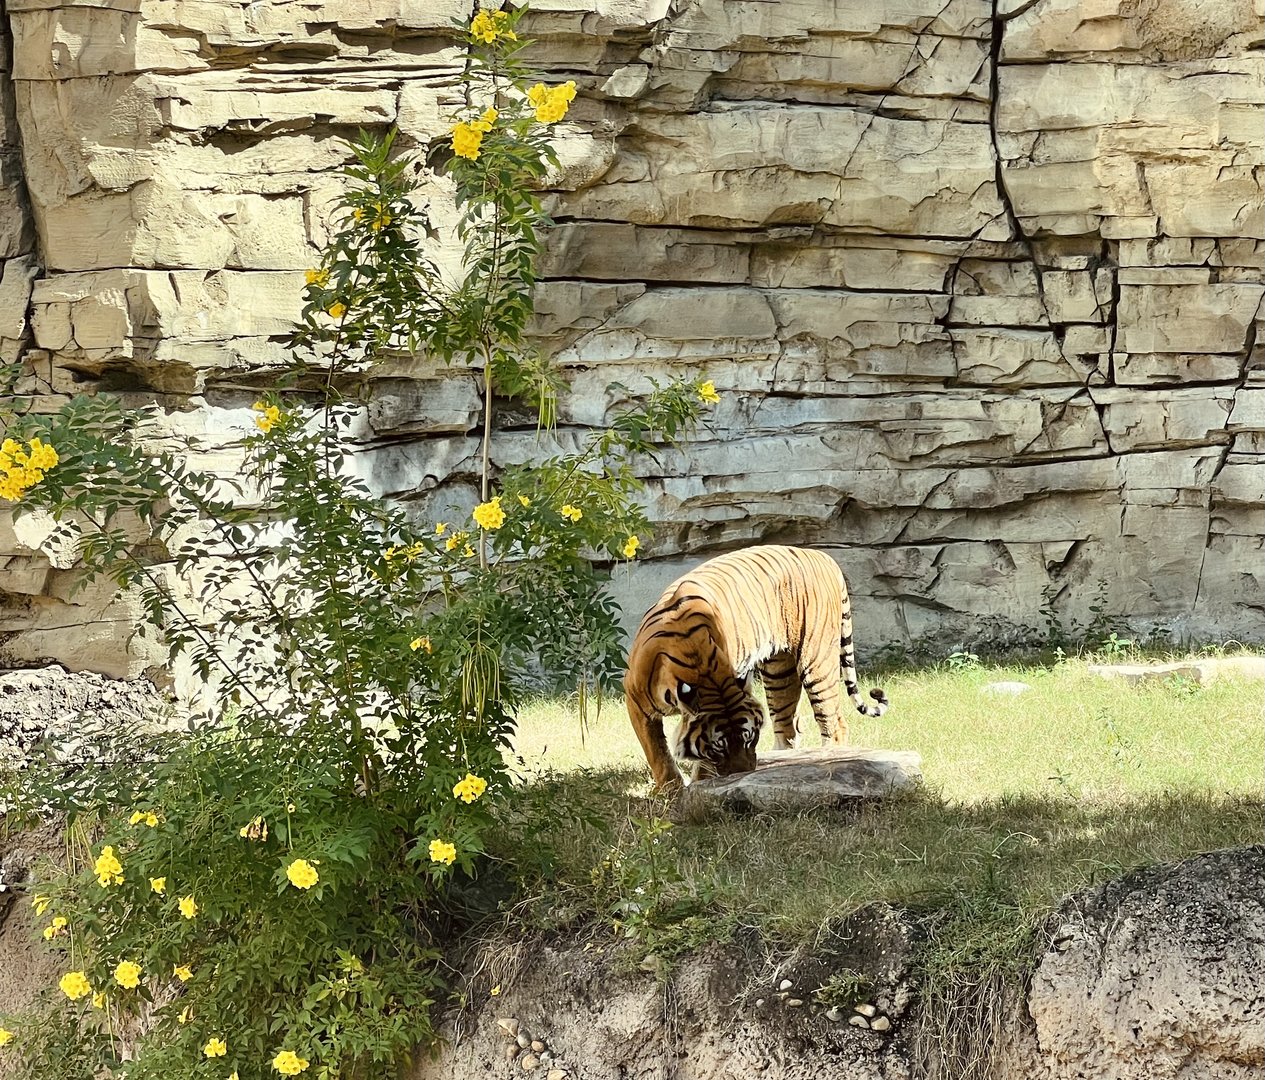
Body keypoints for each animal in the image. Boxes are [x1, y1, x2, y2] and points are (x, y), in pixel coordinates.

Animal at [624, 544, 889, 794]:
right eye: (719, 746)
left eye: (749, 738)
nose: (742, 774)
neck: (700, 666)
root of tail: (823, 556)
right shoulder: (636, 699)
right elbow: (657, 753)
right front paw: (671, 791)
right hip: (779, 670)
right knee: (788, 727)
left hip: (816, 662)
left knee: (834, 724)